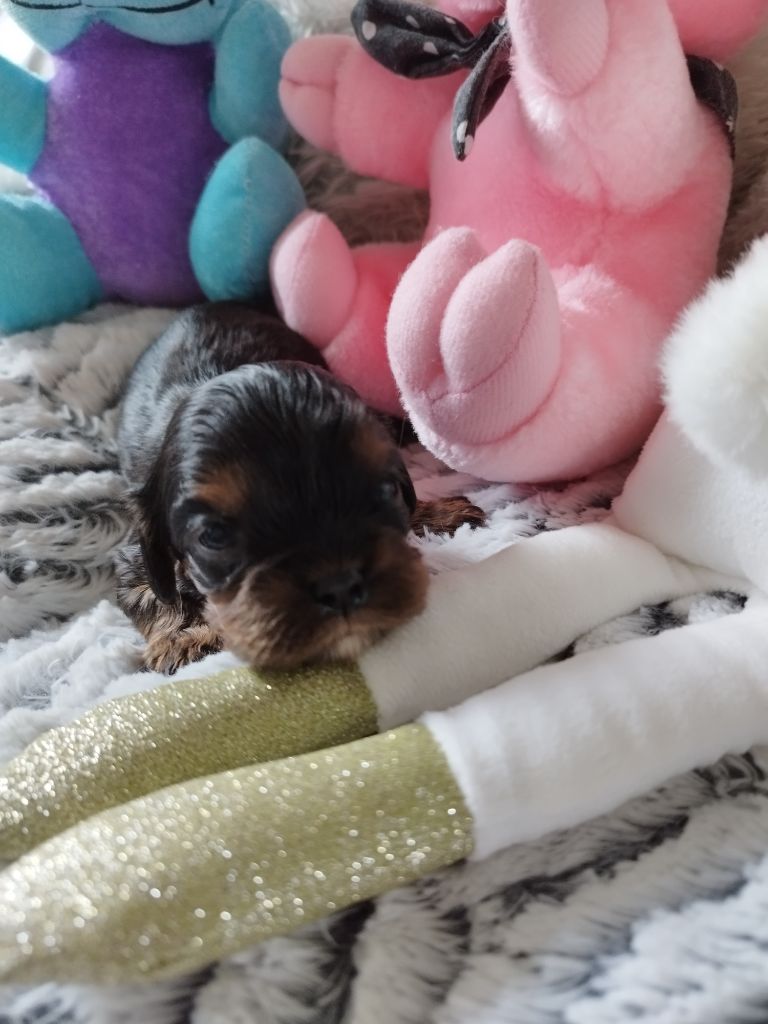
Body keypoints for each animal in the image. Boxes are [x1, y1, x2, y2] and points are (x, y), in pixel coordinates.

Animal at [116, 302, 485, 674]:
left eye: (385, 491)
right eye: (214, 536)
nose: (340, 585)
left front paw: (441, 513)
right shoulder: (134, 551)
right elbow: (155, 592)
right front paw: (184, 634)